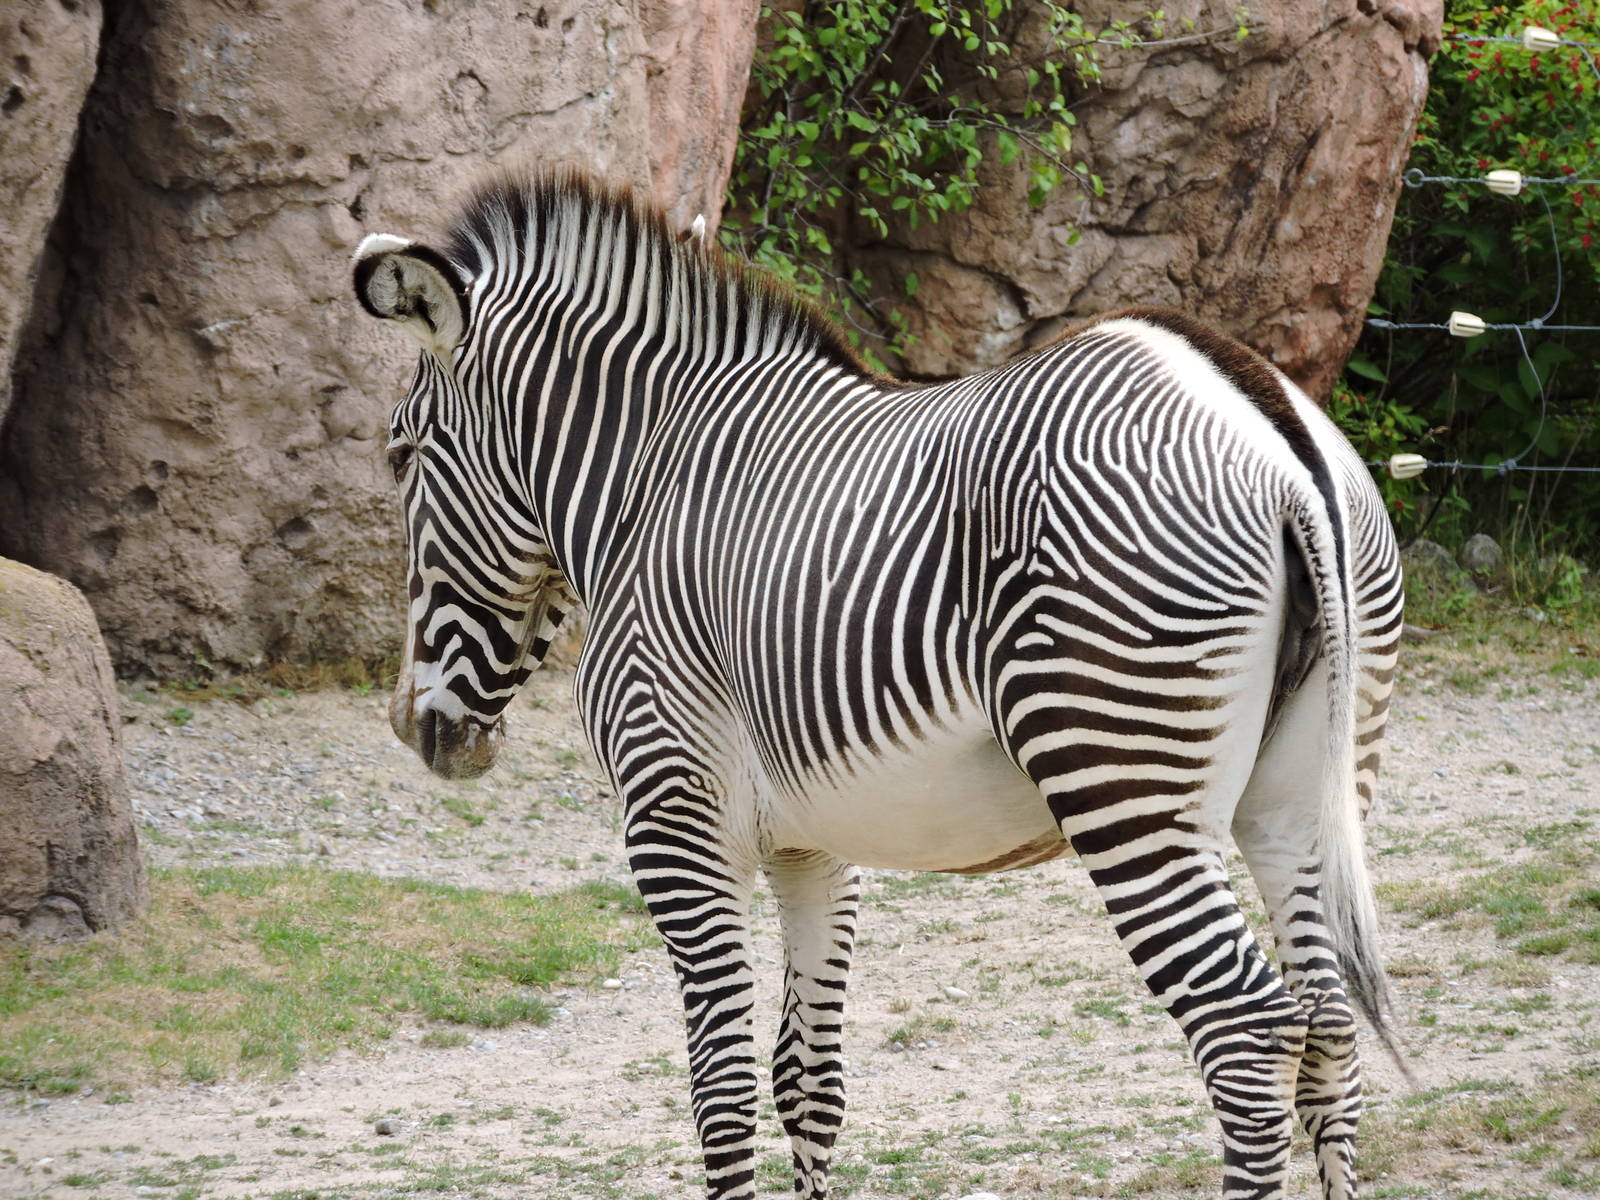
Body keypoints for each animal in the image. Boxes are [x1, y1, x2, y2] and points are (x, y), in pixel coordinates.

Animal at [352, 170, 1403, 1200]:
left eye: (400, 455)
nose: (412, 728)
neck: (650, 485)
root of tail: (1262, 419)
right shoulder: (814, 843)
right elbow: (806, 1080)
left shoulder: (674, 818)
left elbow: (720, 1090)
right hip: (1303, 796)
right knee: (1329, 1033)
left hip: (1126, 785)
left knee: (1248, 1034)